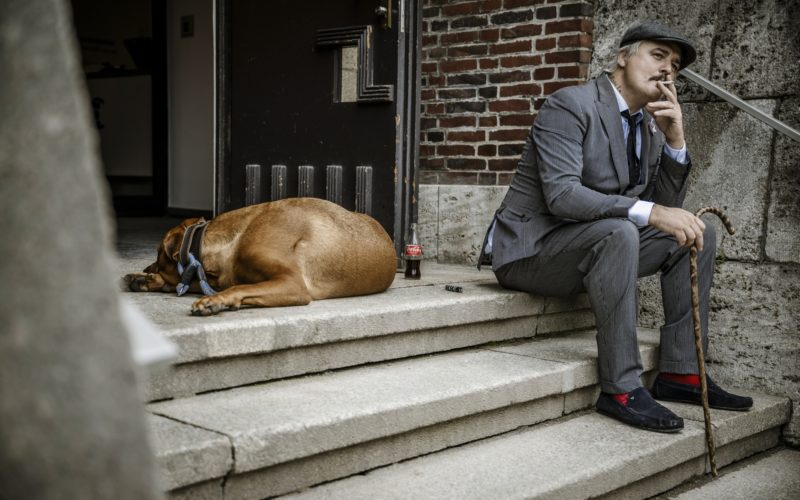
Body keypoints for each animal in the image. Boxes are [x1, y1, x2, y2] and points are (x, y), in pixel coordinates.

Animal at [122, 197, 396, 314]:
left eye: (158, 255)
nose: (147, 269)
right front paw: (141, 279)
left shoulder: (292, 284)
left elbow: (238, 288)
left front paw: (214, 301)